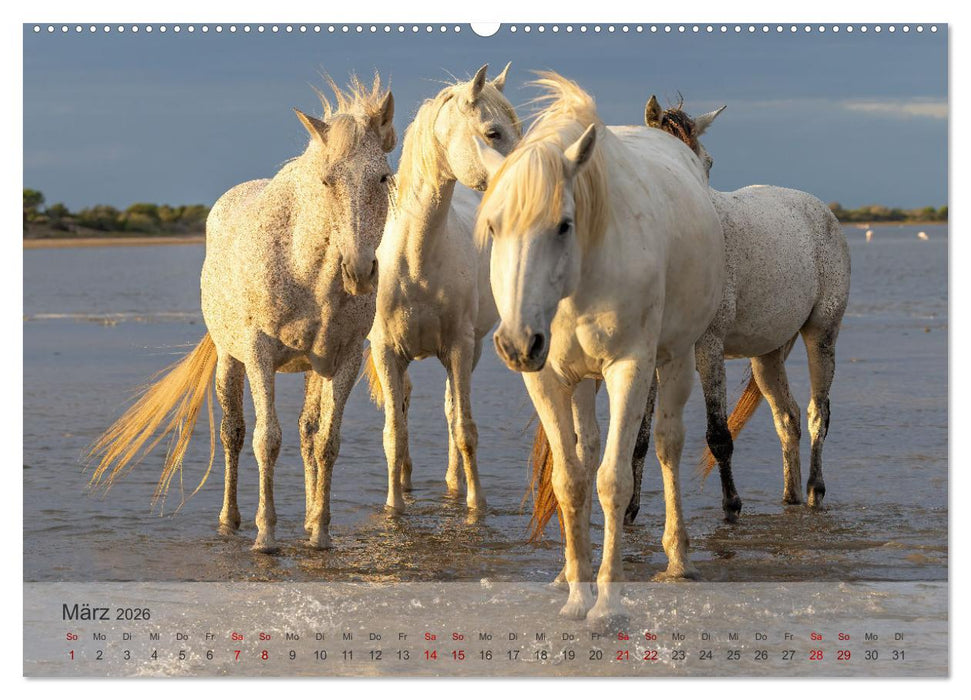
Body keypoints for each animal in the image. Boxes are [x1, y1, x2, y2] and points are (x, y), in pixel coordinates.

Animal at [87, 75, 397, 553]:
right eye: (326, 181)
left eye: (382, 177)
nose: (359, 271)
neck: (307, 271)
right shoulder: (258, 353)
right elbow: (265, 439)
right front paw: (265, 535)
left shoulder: (344, 358)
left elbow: (326, 442)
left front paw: (321, 533)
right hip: (229, 359)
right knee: (232, 433)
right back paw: (230, 520)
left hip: (312, 366)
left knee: (307, 434)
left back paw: (307, 519)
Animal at [360, 64, 520, 514]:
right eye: (493, 132)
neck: (416, 262)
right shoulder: (385, 350)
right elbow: (393, 433)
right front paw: (394, 506)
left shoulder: (460, 347)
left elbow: (464, 429)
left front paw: (475, 504)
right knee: (404, 405)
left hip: (470, 351)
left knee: (451, 411)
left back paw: (453, 483)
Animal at [475, 73, 725, 620]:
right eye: (493, 226)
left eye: (563, 224)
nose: (517, 342)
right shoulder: (546, 378)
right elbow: (570, 479)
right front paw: (576, 592)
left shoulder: (630, 368)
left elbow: (615, 480)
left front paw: (607, 602)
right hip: (581, 380)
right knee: (587, 452)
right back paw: (569, 573)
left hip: (676, 360)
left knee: (668, 444)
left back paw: (678, 557)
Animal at [624, 96, 851, 523]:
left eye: (706, 162)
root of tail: (820, 209)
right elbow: (639, 437)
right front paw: (629, 511)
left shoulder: (708, 348)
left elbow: (718, 433)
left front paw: (731, 506)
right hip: (768, 353)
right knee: (787, 417)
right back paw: (790, 496)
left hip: (823, 334)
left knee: (818, 413)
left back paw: (815, 490)